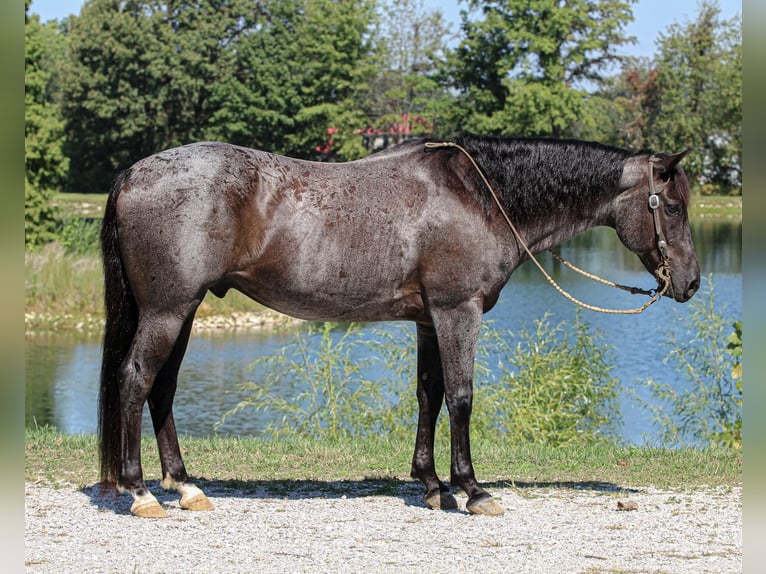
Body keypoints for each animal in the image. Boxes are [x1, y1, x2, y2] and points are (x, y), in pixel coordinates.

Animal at [98, 133, 700, 518]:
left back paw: (185, 486)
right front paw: (473, 490)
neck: (479, 197)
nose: (690, 283)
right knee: (135, 380)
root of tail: (133, 174)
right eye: (671, 206)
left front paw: (432, 485)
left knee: (162, 389)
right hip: (168, 311)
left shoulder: (430, 320)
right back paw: (141, 492)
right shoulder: (458, 311)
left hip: (184, 310)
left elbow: (428, 395)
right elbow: (460, 397)